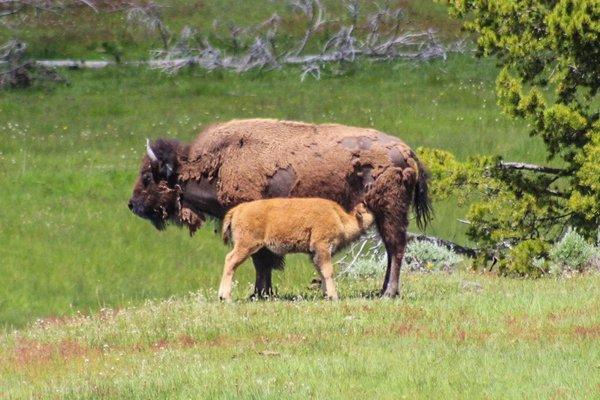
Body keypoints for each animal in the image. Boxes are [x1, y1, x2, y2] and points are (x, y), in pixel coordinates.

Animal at [218, 198, 372, 302]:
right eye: (366, 210)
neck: (340, 218)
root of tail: (237, 209)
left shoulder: (315, 254)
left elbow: (321, 272)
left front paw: (326, 295)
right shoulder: (322, 248)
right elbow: (328, 272)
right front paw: (334, 297)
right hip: (246, 246)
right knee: (230, 261)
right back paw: (225, 297)